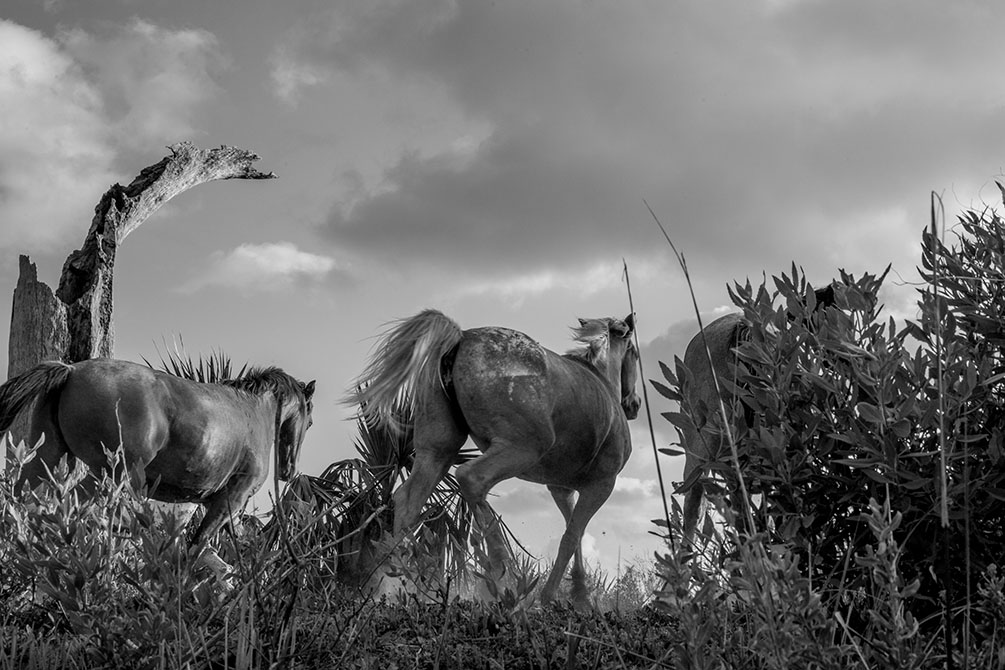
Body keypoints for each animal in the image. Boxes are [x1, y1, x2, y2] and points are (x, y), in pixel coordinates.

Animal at [0, 359, 313, 546]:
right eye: (309, 422)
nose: (289, 471)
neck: (252, 411)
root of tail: (71, 371)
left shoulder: (216, 506)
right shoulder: (230, 500)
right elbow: (198, 547)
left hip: (44, 462)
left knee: (21, 505)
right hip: (109, 475)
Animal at [349, 309, 639, 606]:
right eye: (635, 354)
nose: (634, 405)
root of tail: (461, 337)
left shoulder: (561, 489)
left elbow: (575, 533)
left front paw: (579, 595)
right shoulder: (601, 485)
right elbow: (571, 536)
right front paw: (556, 597)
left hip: (437, 452)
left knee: (408, 501)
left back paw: (400, 581)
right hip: (521, 448)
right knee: (472, 479)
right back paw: (504, 573)